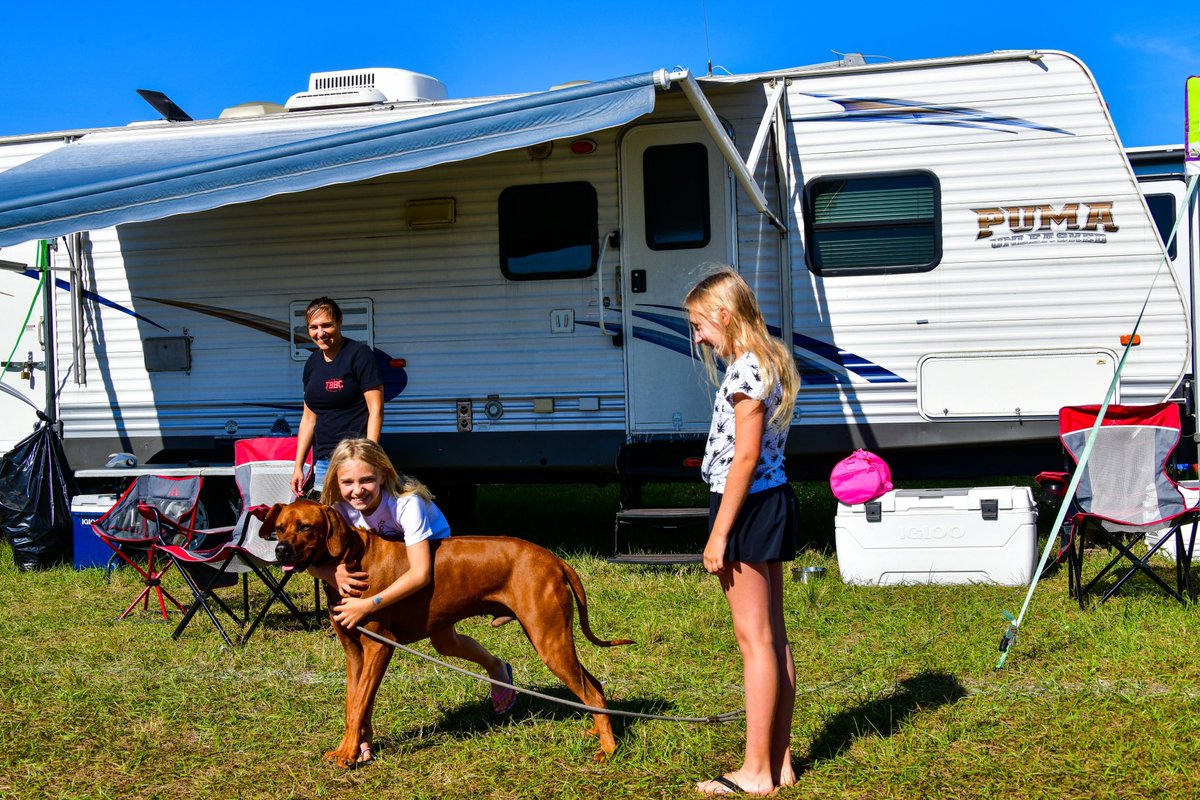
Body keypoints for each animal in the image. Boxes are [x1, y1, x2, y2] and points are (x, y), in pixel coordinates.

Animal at [260, 501, 638, 767]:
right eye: (279, 529)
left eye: (306, 527)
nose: (280, 551)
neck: (354, 558)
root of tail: (553, 559)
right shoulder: (354, 653)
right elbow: (355, 704)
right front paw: (354, 749)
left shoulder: (380, 647)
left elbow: (359, 705)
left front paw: (350, 754)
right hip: (550, 637)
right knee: (594, 685)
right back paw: (599, 729)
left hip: (549, 639)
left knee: (591, 690)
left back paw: (609, 748)